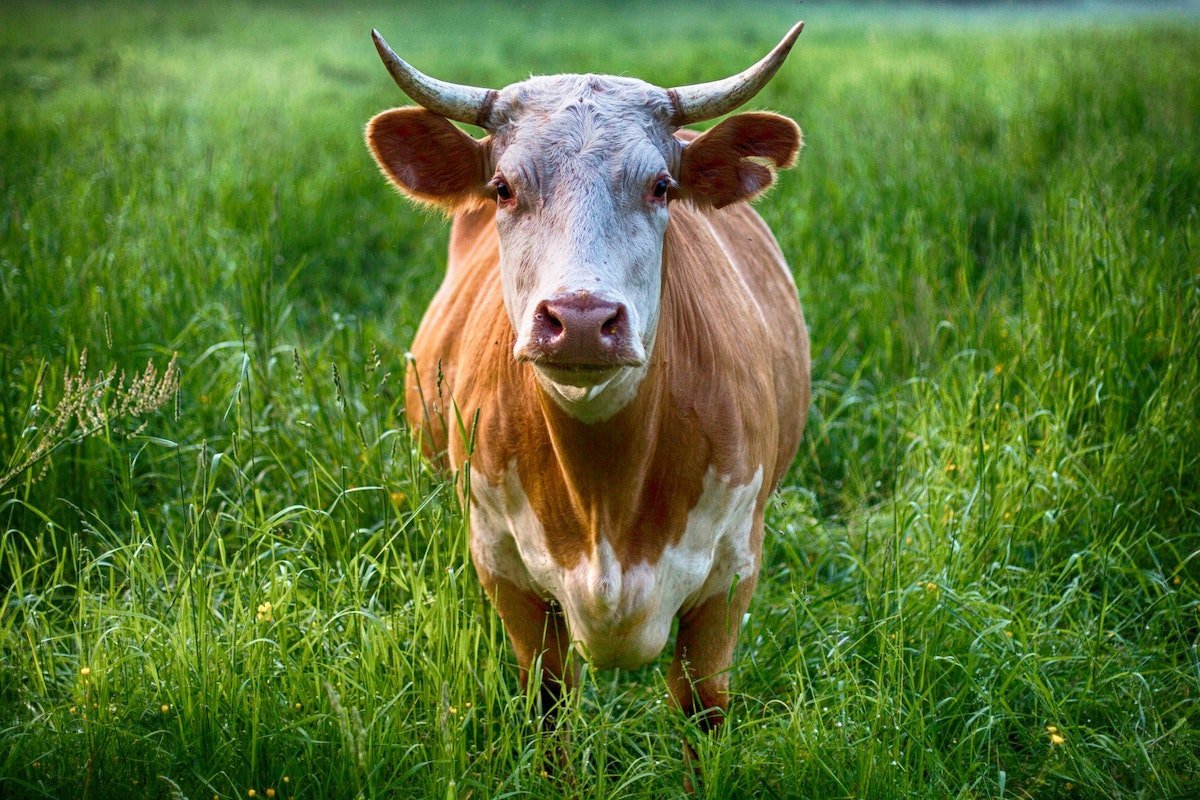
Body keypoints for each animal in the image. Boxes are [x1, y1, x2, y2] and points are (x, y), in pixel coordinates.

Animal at [365, 22, 811, 743]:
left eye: (661, 186)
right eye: (502, 187)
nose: (579, 320)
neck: (606, 491)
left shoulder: (732, 574)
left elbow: (702, 710)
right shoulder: (504, 570)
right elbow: (550, 707)